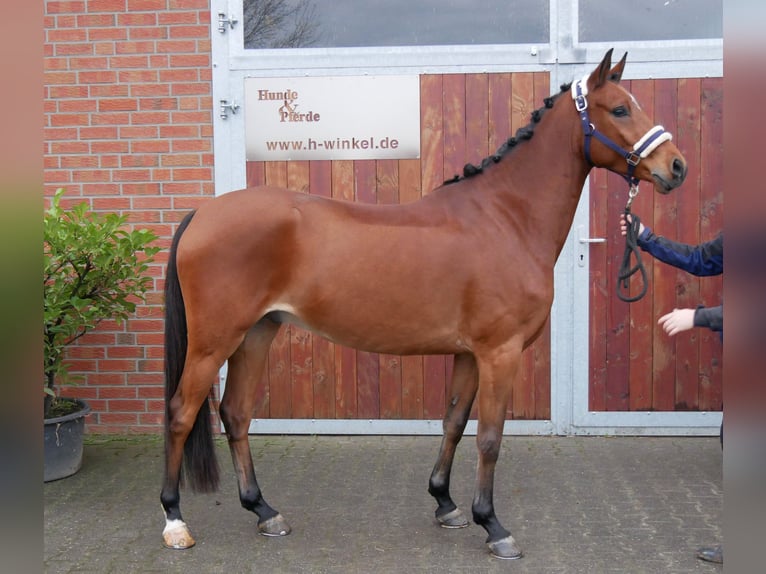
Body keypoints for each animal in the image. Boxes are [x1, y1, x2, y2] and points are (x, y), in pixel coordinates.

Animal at [162, 50, 688, 564]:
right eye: (619, 109)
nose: (677, 166)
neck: (506, 218)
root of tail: (203, 213)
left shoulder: (469, 354)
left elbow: (454, 423)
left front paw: (446, 503)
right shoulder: (500, 352)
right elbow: (491, 438)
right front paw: (493, 526)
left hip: (257, 333)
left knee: (236, 414)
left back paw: (264, 511)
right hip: (213, 343)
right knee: (182, 413)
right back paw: (175, 521)